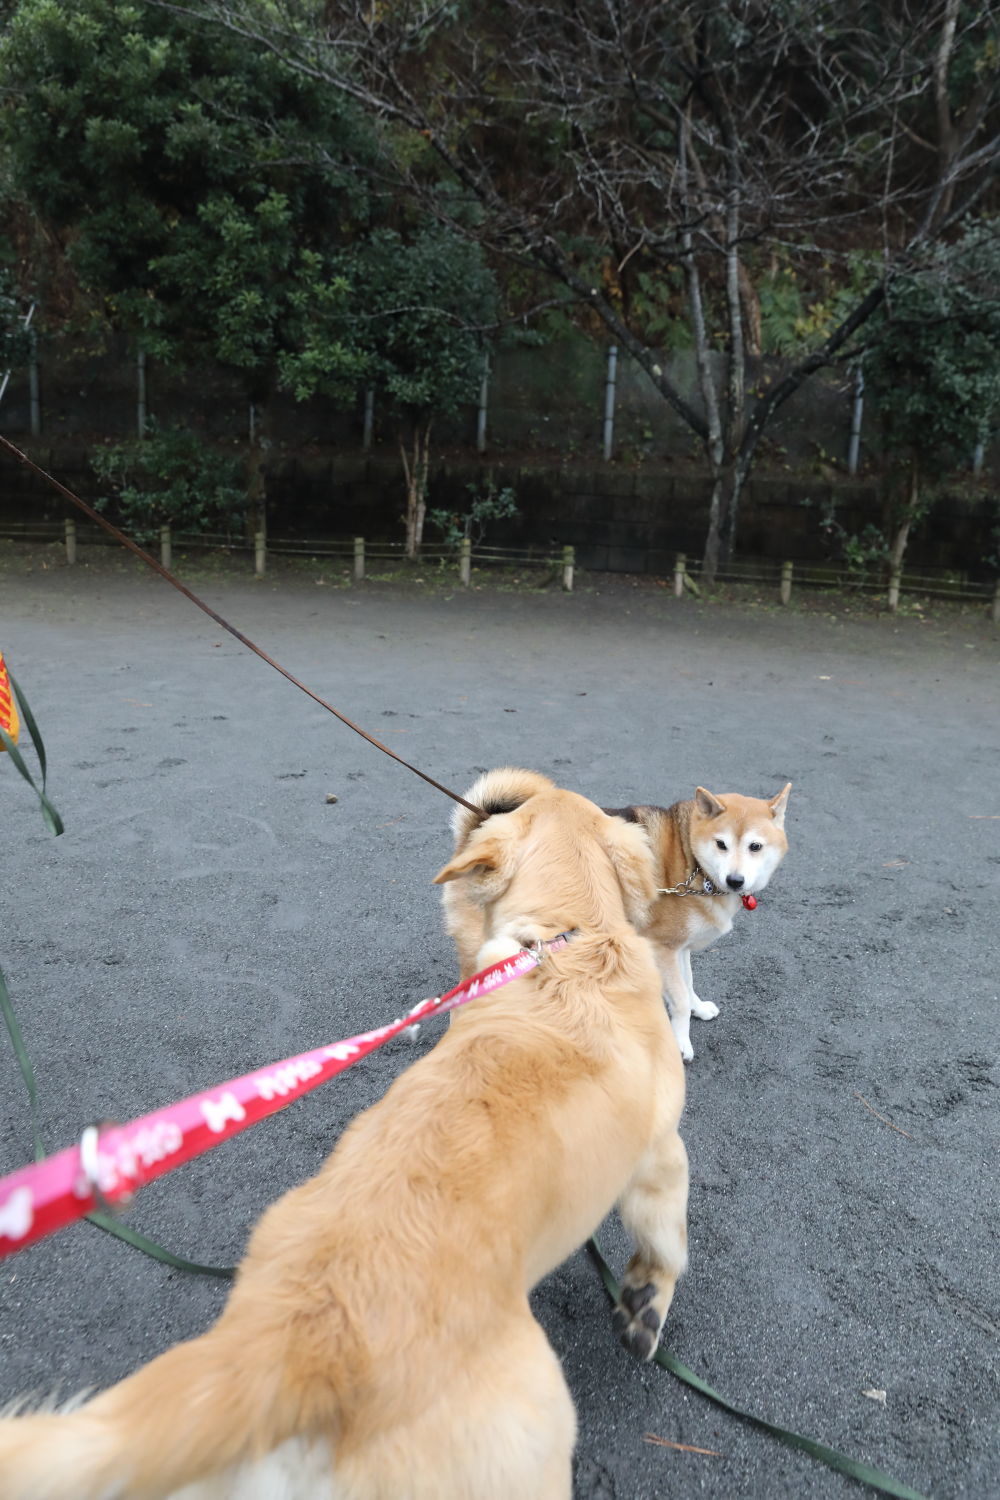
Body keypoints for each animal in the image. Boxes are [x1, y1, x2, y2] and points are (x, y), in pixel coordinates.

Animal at [0, 774, 689, 1500]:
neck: (568, 940)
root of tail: (296, 1344)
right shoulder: (660, 1153)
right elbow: (666, 1241)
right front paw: (644, 1307)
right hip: (528, 1440)